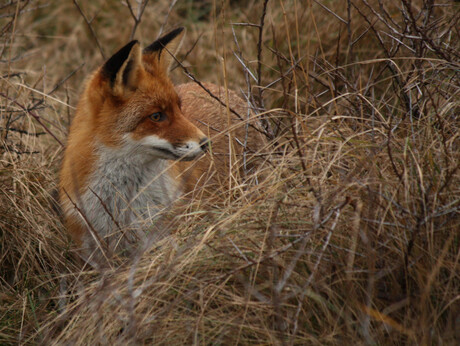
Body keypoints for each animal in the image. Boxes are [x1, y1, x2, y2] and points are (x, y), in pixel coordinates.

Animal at [59, 27, 264, 264]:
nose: (206, 143)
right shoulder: (94, 255)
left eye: (179, 108)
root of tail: (223, 90)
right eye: (156, 116)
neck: (122, 203)